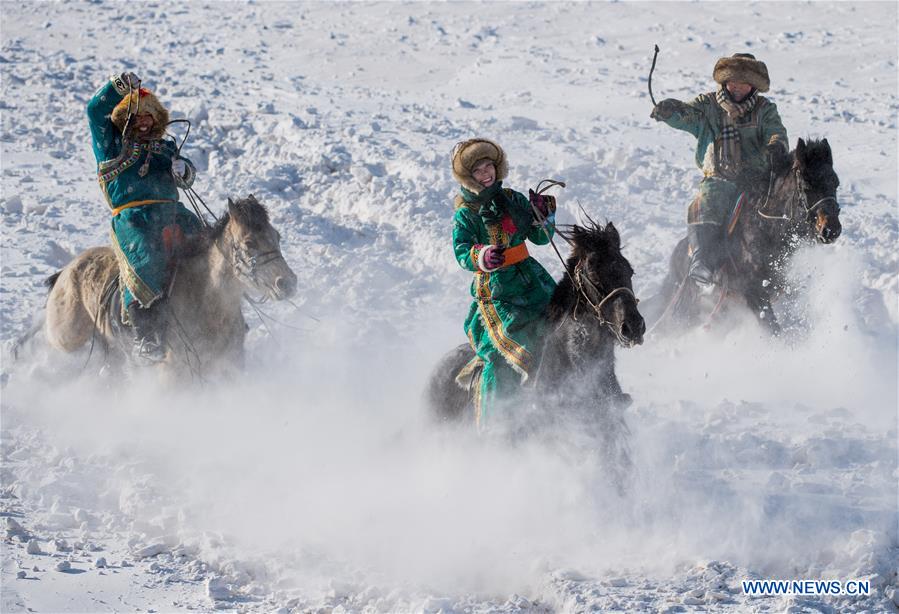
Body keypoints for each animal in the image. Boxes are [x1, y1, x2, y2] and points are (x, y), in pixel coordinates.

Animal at [44, 195, 298, 382]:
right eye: (249, 242)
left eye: (277, 236)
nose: (287, 283)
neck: (206, 304)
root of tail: (69, 268)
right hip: (67, 334)